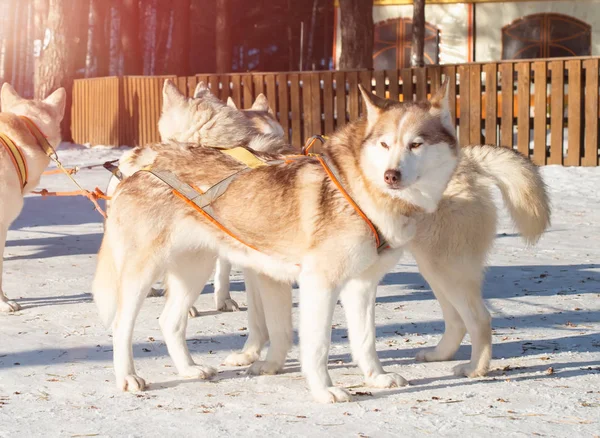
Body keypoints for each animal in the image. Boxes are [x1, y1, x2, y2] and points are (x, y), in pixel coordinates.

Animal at [92, 80, 460, 402]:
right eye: (384, 144)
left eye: (416, 144)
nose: (391, 175)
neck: (359, 191)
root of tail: (142, 167)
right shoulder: (319, 284)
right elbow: (317, 345)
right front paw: (324, 391)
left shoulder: (362, 286)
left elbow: (365, 340)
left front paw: (376, 378)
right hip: (143, 273)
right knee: (121, 324)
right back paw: (128, 376)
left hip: (194, 270)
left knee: (170, 321)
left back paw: (188, 369)